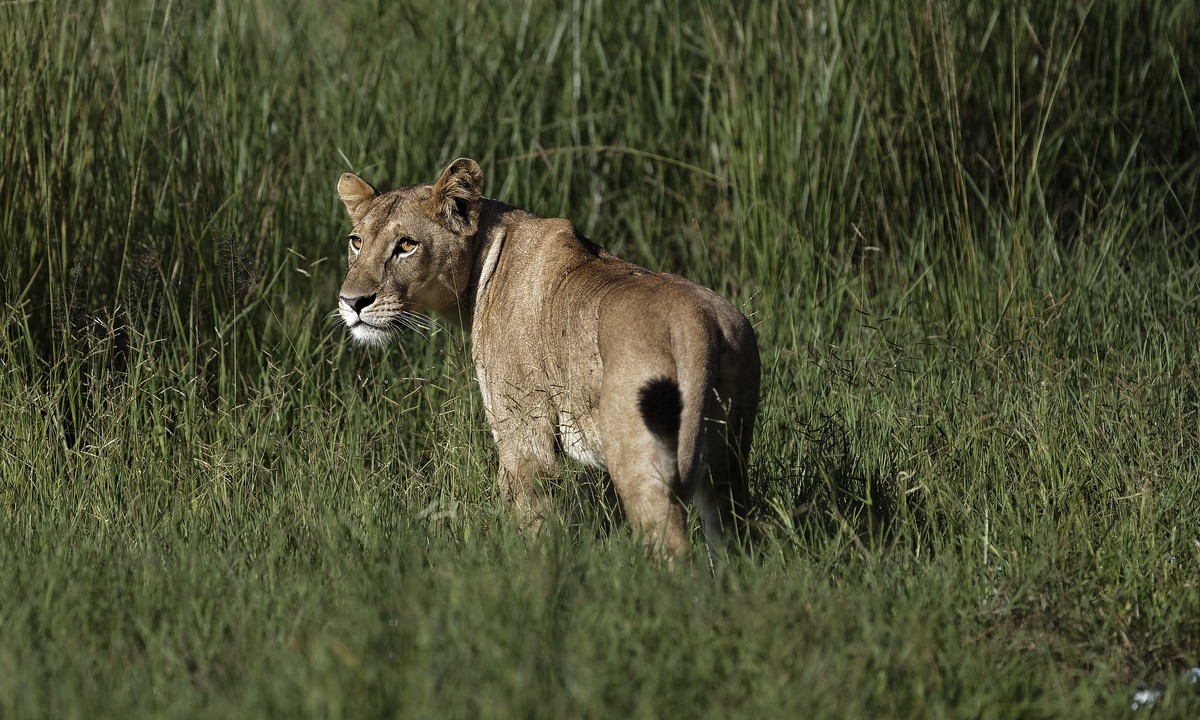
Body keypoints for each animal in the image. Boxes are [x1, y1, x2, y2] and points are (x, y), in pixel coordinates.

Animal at [335, 158, 759, 559]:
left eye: (406, 245)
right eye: (356, 242)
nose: (351, 302)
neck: (483, 263)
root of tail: (697, 320)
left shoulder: (524, 437)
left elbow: (533, 524)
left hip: (639, 453)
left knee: (669, 543)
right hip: (728, 460)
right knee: (733, 537)